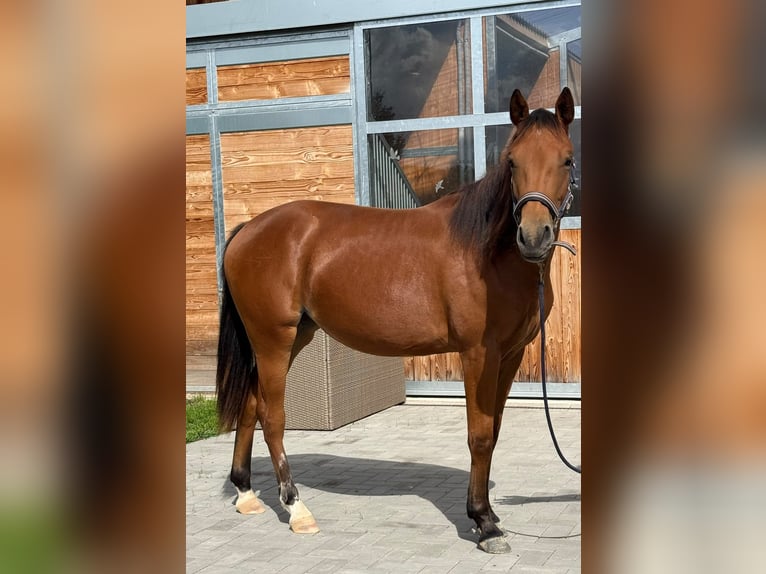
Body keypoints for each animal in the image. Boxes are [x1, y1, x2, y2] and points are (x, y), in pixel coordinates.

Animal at [215, 87, 576, 554]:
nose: (533, 237)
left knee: (250, 403)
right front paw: (484, 523)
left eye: (566, 159)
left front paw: (489, 515)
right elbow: (479, 435)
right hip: (273, 339)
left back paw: (246, 493)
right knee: (272, 416)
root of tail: (248, 230)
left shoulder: (511, 355)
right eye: (512, 161)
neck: (487, 253)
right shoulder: (479, 354)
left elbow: (493, 432)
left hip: (290, 338)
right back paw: (296, 509)